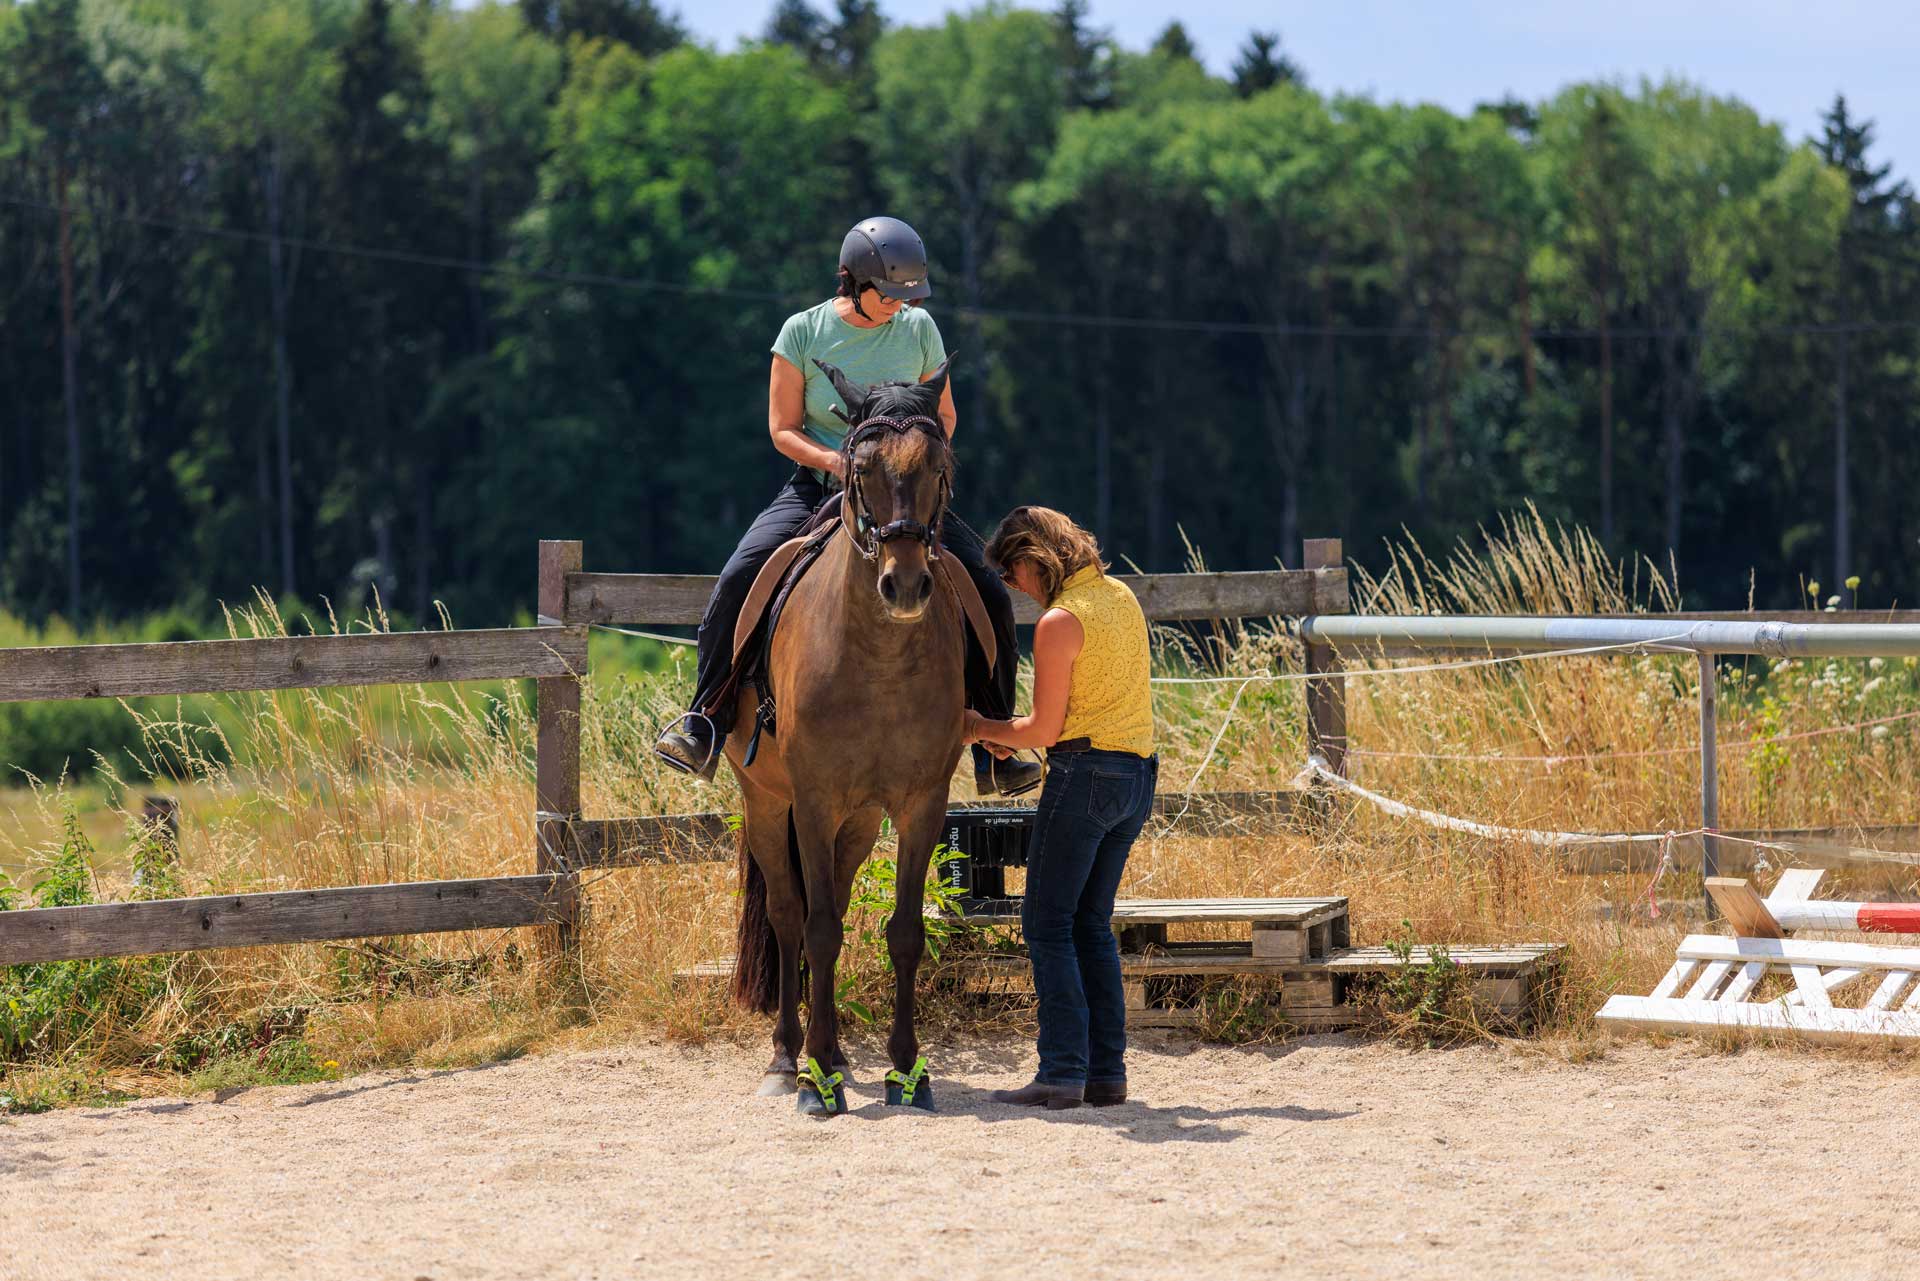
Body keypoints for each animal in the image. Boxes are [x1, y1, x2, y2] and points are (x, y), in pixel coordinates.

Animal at [721, 355, 960, 1113]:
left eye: (940, 466)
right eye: (859, 469)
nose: (904, 586)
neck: (879, 656)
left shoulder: (920, 803)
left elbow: (905, 931)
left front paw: (907, 1070)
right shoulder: (814, 799)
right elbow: (819, 929)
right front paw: (817, 1077)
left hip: (856, 821)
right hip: (769, 803)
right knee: (790, 915)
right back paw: (787, 1056)